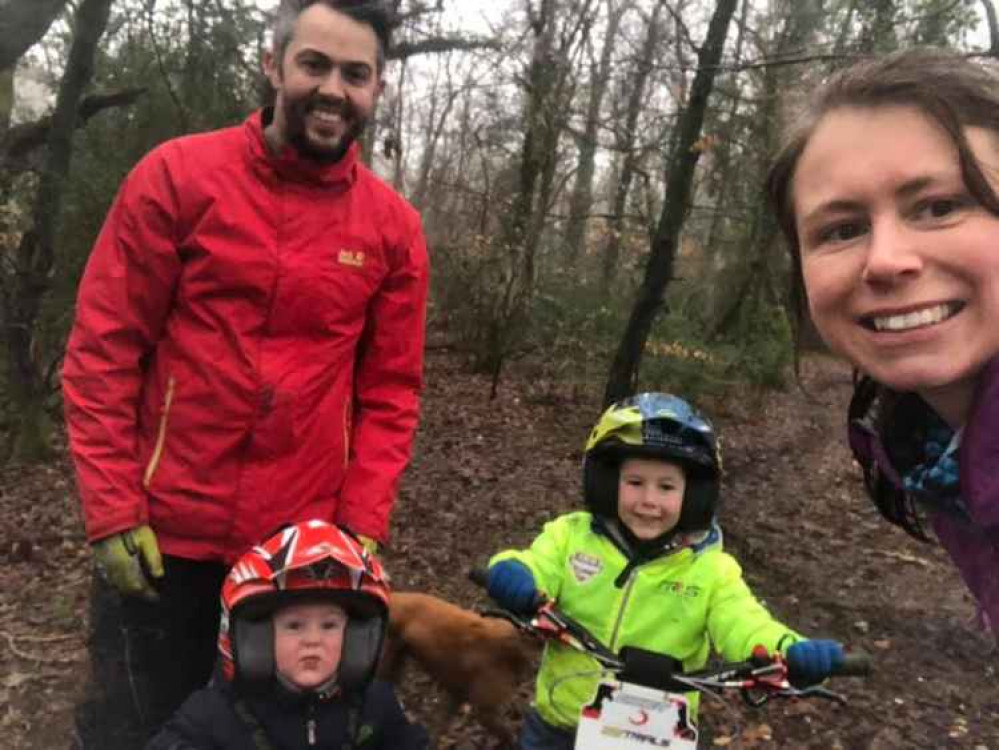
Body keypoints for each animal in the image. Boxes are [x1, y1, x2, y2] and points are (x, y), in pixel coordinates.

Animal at [380, 592, 540, 748]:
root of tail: (393, 595)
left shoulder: (456, 695)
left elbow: (438, 729)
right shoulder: (485, 711)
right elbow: (509, 735)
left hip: (398, 660)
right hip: (389, 659)